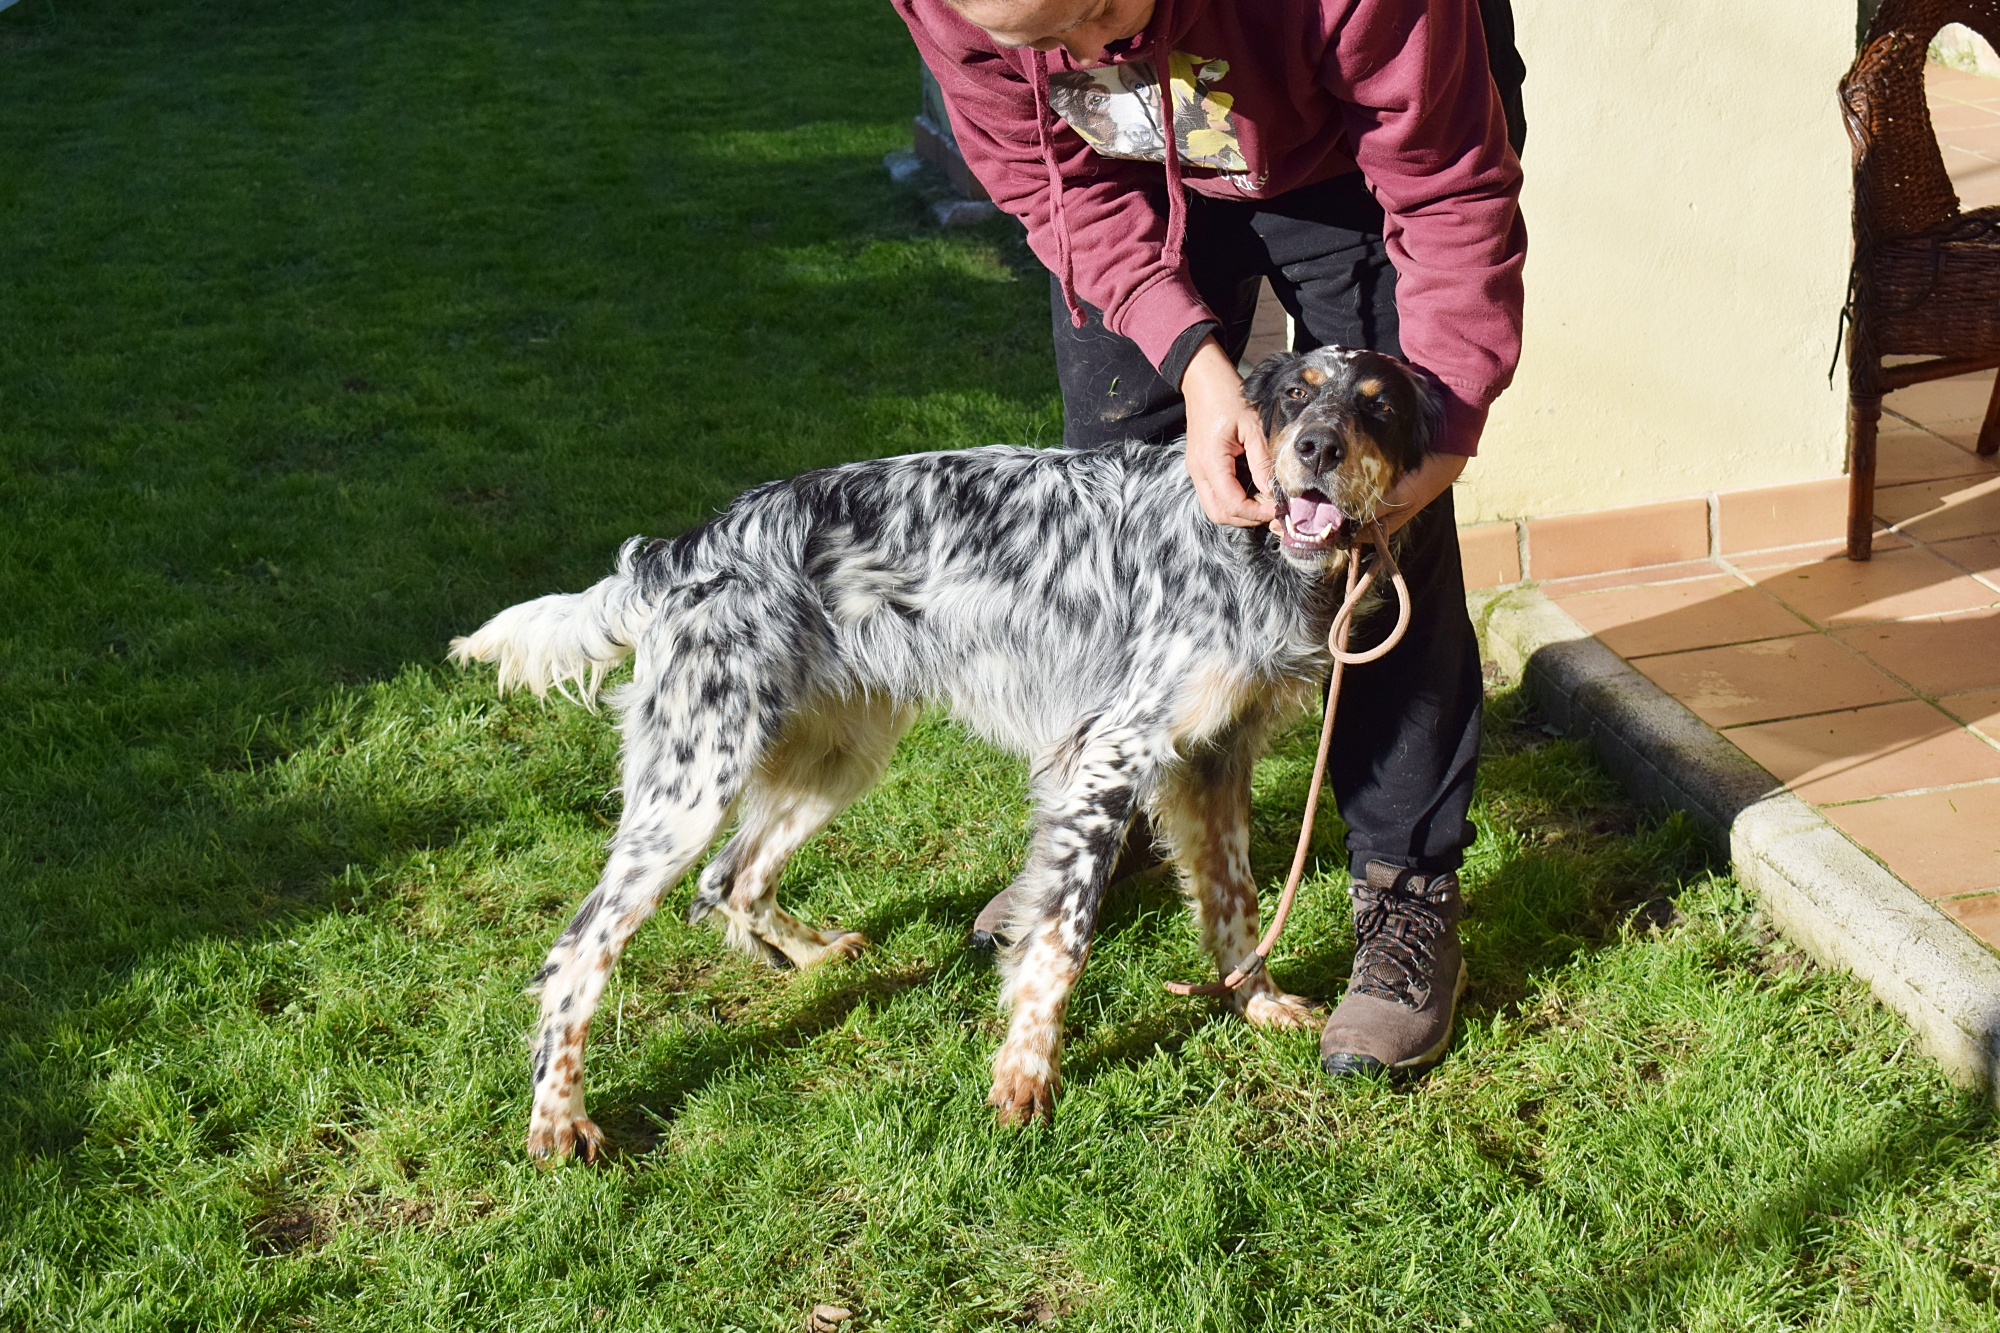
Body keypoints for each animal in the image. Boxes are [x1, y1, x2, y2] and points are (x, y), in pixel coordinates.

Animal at [449, 346, 1439, 1159]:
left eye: (1380, 407)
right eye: (1296, 396)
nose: (1317, 448)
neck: (1248, 547)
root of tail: (688, 547)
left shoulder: (1214, 760)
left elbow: (1235, 903)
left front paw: (1256, 1001)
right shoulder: (1109, 756)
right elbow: (1061, 938)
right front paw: (1025, 1078)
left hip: (838, 756)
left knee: (731, 879)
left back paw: (812, 957)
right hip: (691, 786)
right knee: (576, 954)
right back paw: (559, 1121)